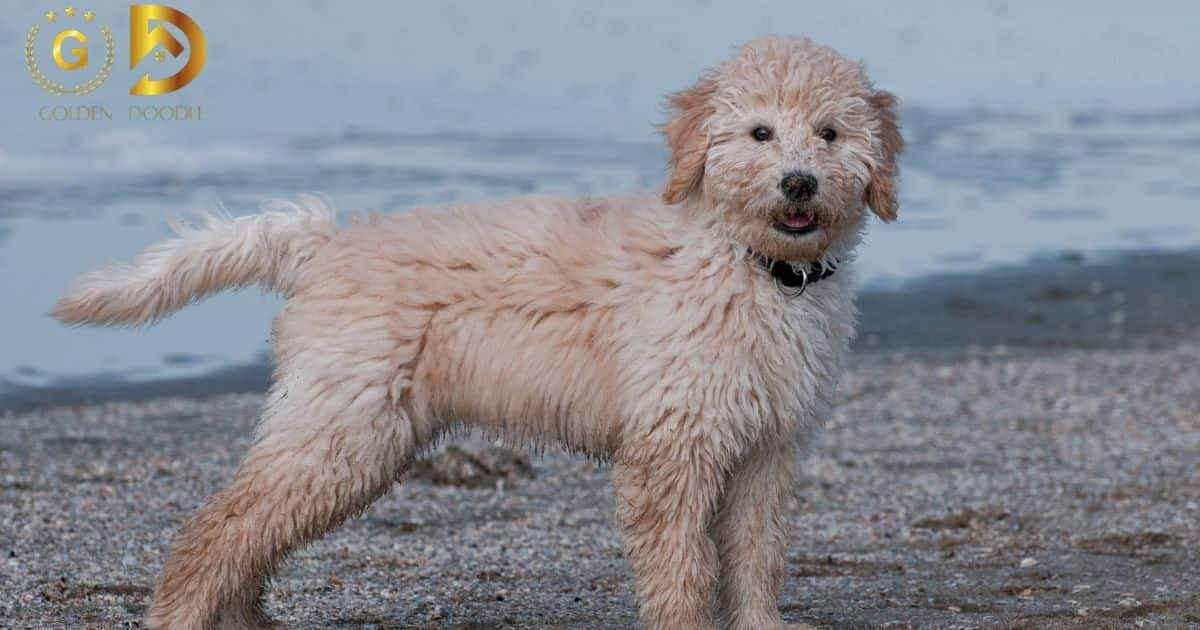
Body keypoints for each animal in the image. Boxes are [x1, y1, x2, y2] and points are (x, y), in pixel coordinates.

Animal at [54, 35, 902, 628]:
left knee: (249, 533)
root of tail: (323, 245)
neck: (749, 265)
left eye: (830, 133)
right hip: (344, 429)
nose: (800, 183)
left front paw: (763, 624)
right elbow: (681, 569)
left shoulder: (768, 447)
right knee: (220, 526)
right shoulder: (673, 449)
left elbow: (758, 555)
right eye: (760, 133)